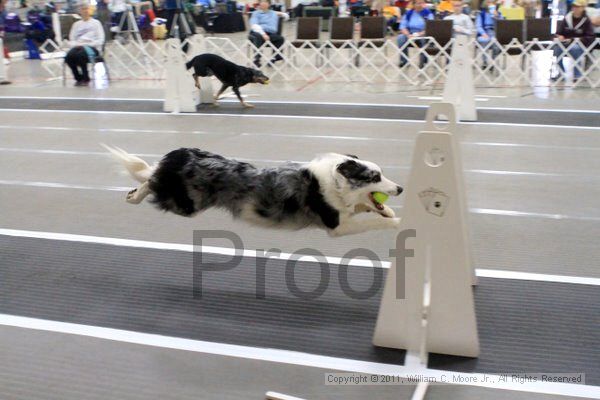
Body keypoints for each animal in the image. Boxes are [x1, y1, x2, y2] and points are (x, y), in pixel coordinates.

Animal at [104, 145, 404, 236]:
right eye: (375, 177)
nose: (400, 188)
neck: (334, 181)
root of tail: (181, 153)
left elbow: (368, 208)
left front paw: (388, 211)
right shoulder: (336, 226)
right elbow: (371, 220)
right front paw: (398, 220)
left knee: (149, 173)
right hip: (186, 204)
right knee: (150, 178)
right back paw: (134, 196)